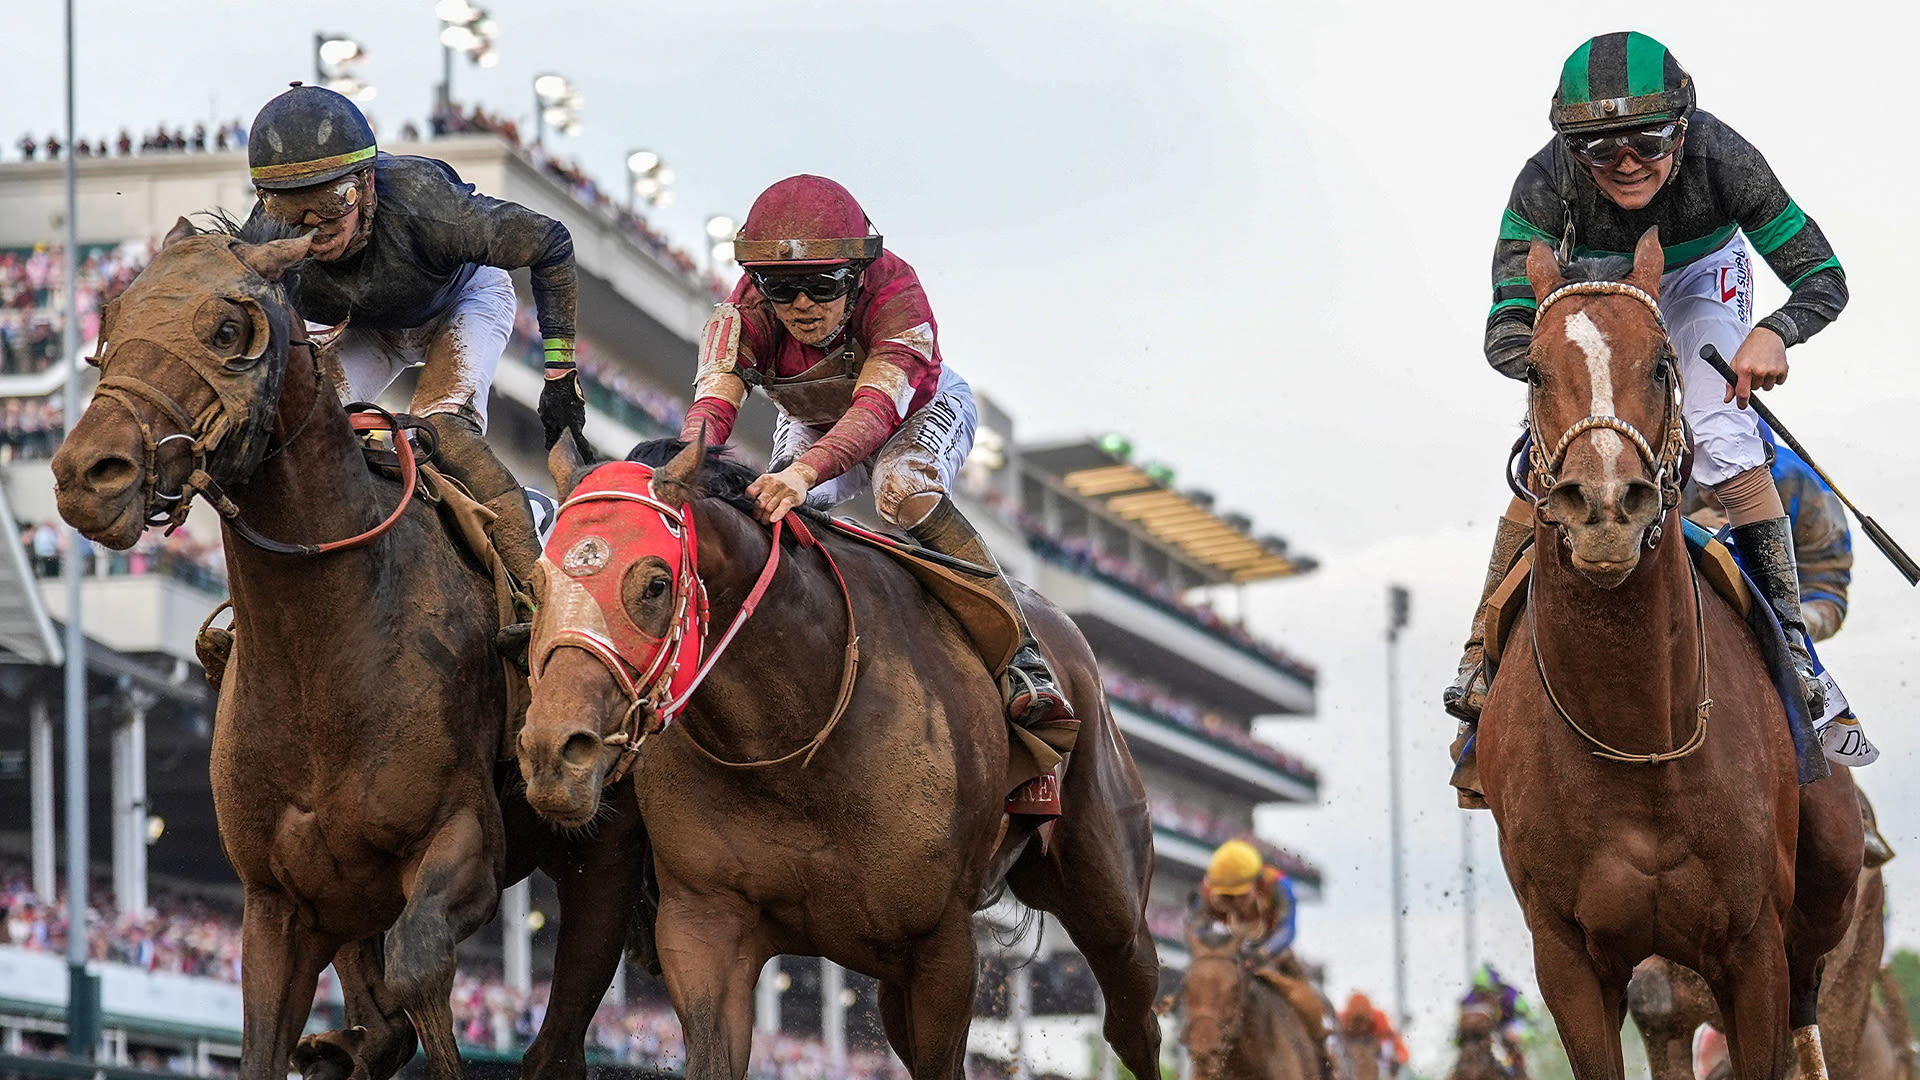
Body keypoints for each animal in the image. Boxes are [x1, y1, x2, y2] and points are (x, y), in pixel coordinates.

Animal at [50, 216, 645, 1076]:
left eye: (227, 330)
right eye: (113, 318)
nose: (86, 474)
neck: (322, 647)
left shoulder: (464, 846)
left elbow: (419, 969)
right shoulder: (283, 900)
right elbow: (276, 1041)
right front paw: (334, 1045)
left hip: (601, 854)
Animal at [518, 434, 1159, 1076]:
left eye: (654, 583)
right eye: (538, 582)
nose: (553, 751)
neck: (795, 749)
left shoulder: (943, 945)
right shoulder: (705, 924)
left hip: (1108, 895)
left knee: (1133, 1019)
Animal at [1466, 231, 1858, 1076]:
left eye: (1659, 365)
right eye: (1534, 370)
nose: (1606, 506)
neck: (1637, 727)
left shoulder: (1754, 948)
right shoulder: (1568, 960)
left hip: (1823, 896)